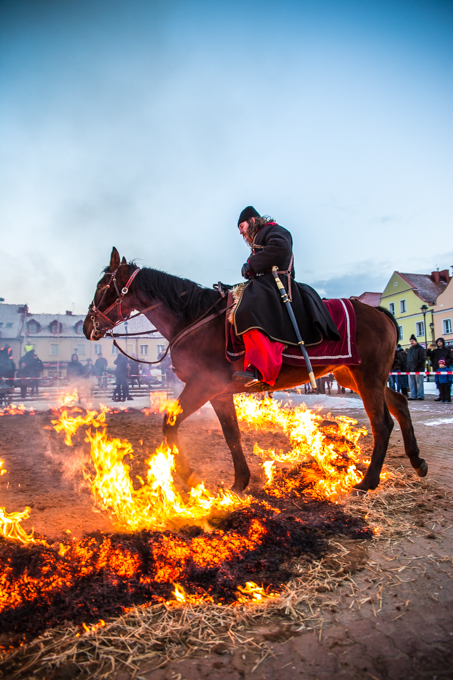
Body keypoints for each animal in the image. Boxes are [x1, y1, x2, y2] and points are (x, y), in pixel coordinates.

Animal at [83, 250, 426, 494]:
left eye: (102, 286)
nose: (87, 327)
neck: (193, 318)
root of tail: (380, 312)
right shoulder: (219, 393)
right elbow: (231, 435)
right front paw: (239, 482)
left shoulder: (203, 385)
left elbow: (170, 424)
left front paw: (189, 476)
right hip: (355, 377)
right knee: (400, 404)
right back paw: (417, 461)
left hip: (367, 378)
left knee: (382, 423)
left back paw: (368, 482)